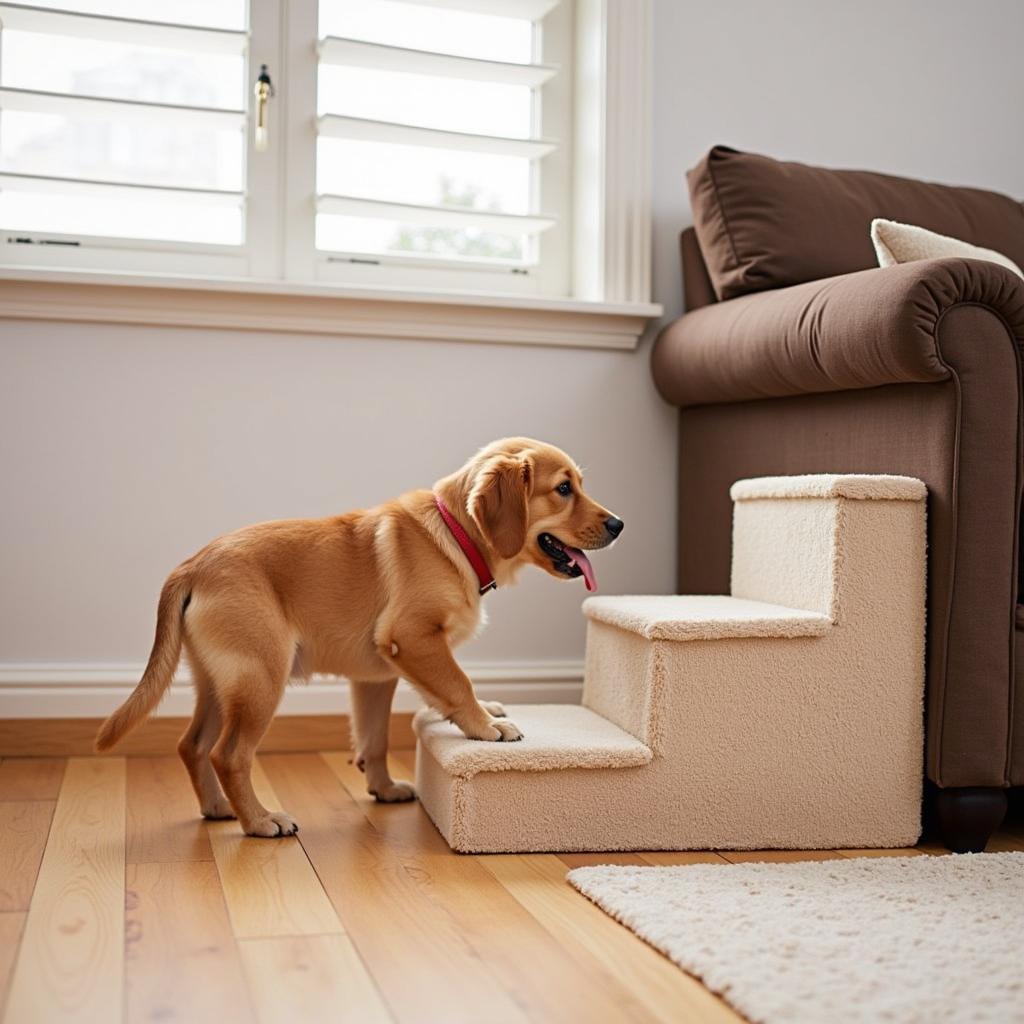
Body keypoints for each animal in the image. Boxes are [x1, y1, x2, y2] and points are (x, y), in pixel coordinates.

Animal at [97, 436, 622, 835]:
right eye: (563, 489)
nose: (619, 524)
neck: (454, 536)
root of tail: (191, 566)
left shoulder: (377, 677)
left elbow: (376, 738)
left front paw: (385, 786)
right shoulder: (414, 638)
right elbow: (457, 682)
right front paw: (484, 726)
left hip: (219, 681)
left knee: (191, 745)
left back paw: (218, 807)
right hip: (260, 678)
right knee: (228, 755)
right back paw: (261, 822)